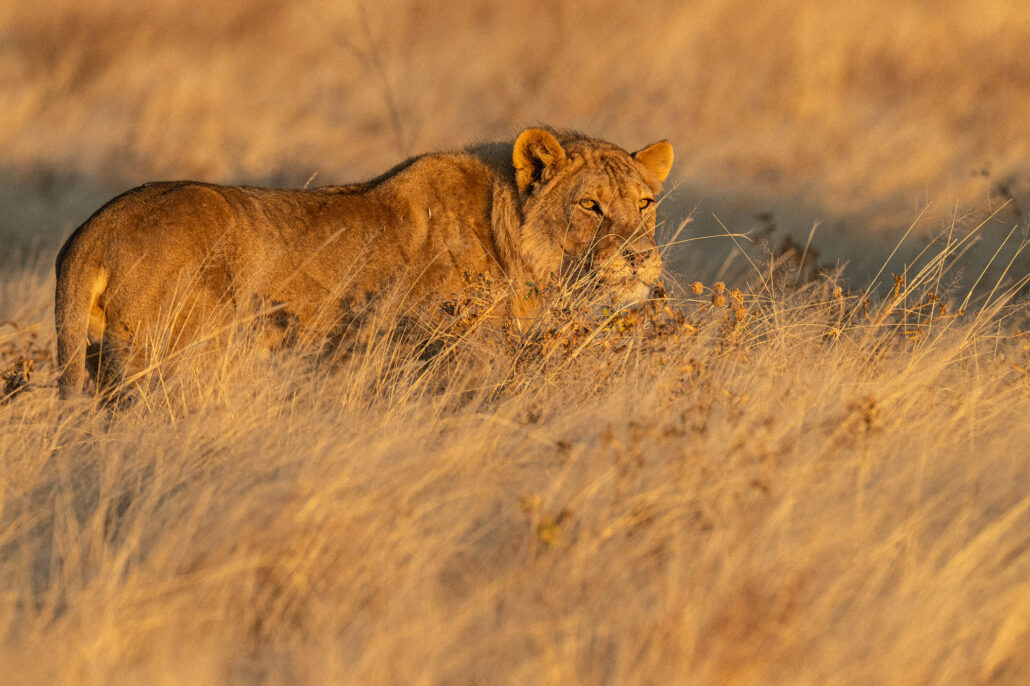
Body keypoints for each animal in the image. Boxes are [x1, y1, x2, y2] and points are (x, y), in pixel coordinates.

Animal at [55, 127, 673, 397]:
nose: (641, 258)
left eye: (645, 204)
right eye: (591, 206)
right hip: (179, 360)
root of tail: (92, 231)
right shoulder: (456, 358)